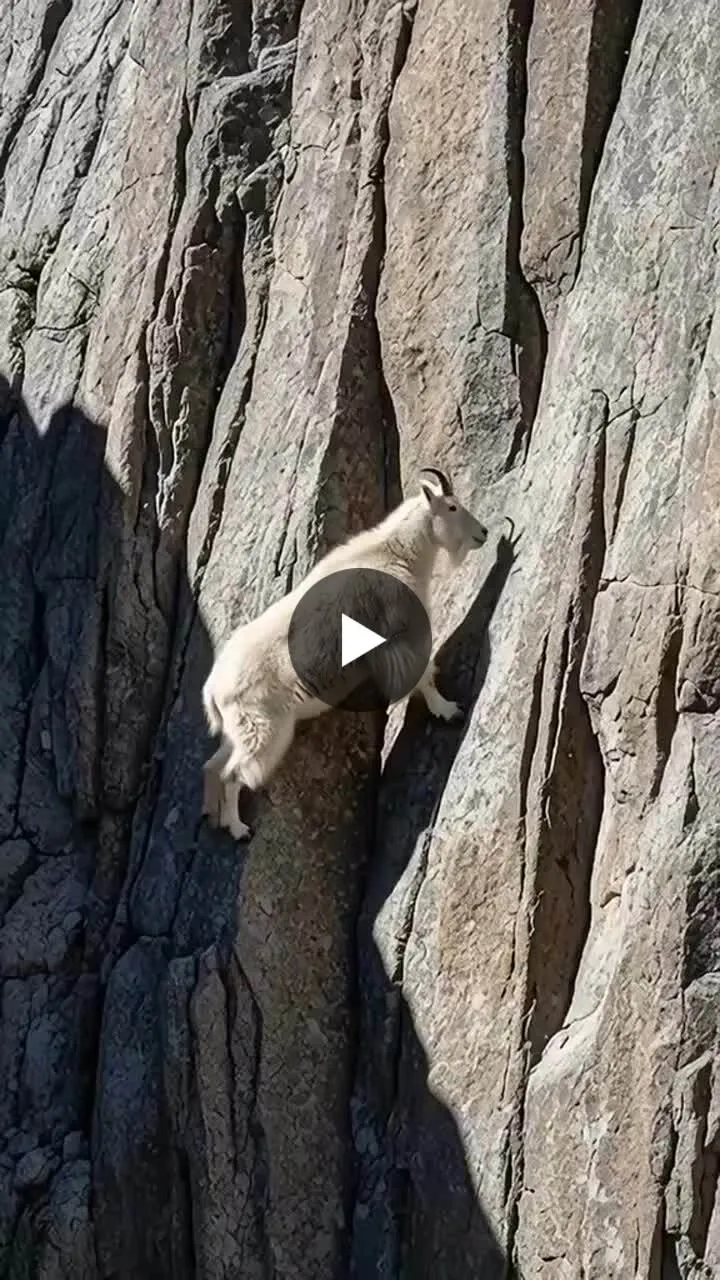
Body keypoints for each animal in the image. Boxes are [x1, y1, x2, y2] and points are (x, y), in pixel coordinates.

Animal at [201, 467, 490, 839]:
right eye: (452, 507)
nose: (483, 533)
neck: (395, 552)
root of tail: (212, 689)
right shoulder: (398, 633)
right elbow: (423, 674)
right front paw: (449, 710)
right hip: (263, 728)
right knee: (233, 774)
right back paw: (238, 829)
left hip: (236, 730)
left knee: (213, 766)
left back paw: (214, 816)